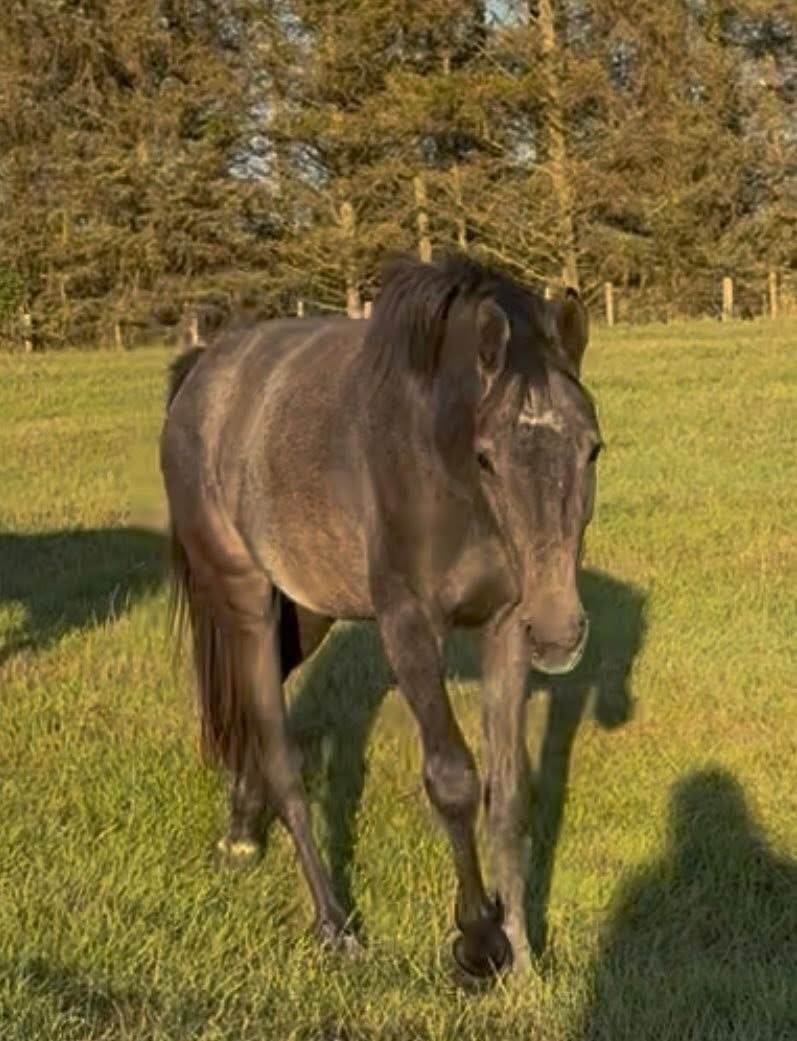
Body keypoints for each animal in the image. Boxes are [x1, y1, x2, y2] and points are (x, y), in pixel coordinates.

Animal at [160, 252, 602, 979]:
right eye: (487, 456)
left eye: (592, 447)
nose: (560, 632)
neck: (439, 464)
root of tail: (203, 372)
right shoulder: (408, 627)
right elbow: (453, 780)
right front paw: (478, 941)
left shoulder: (507, 626)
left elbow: (508, 793)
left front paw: (522, 957)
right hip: (245, 597)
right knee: (281, 753)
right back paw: (334, 925)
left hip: (304, 616)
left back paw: (240, 835)